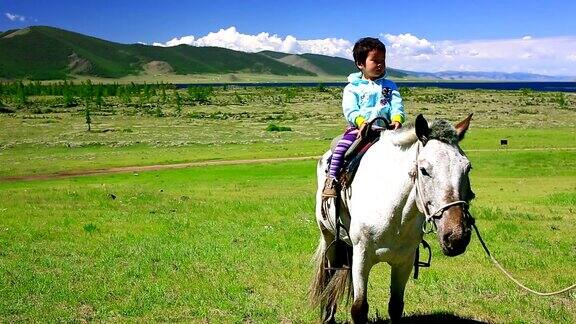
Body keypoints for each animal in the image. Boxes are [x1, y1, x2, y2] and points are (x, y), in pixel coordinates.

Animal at [312, 114, 474, 322]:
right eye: (423, 170)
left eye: (467, 167)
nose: (456, 237)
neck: (394, 214)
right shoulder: (362, 258)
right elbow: (359, 308)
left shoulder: (404, 261)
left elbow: (396, 306)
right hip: (329, 238)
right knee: (330, 279)